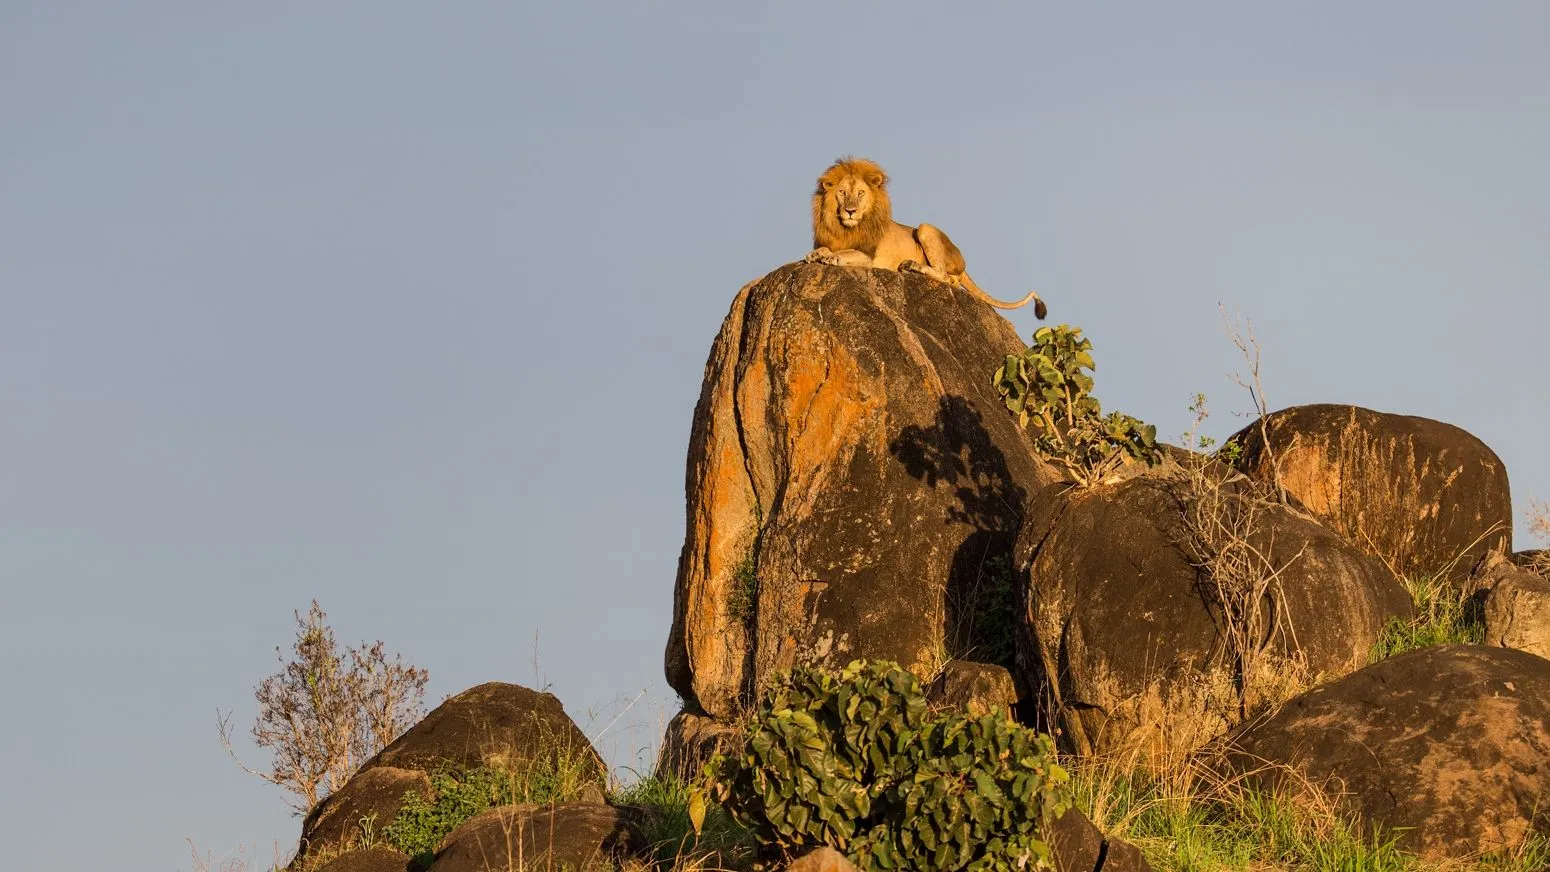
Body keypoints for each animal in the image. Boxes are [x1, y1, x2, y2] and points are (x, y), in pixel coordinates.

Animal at [806, 157, 1047, 317]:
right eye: (842, 192)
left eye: (861, 193)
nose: (850, 211)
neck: (845, 228)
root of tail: (963, 263)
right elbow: (823, 249)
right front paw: (814, 255)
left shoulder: (868, 256)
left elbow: (848, 252)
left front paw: (832, 258)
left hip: (925, 228)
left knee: (944, 276)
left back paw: (912, 266)